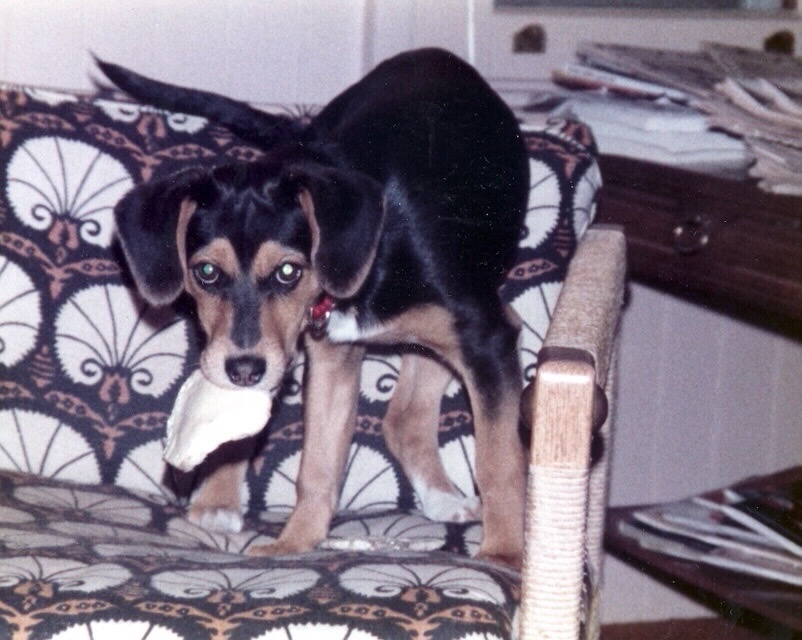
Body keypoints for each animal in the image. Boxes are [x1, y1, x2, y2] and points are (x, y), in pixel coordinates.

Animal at [100, 48, 530, 568]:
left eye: (289, 271)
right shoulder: (330, 357)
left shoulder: (487, 337)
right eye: (205, 272)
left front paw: (504, 556)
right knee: (402, 418)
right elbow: (318, 466)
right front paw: (295, 545)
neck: (374, 253)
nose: (243, 369)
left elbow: (498, 462)